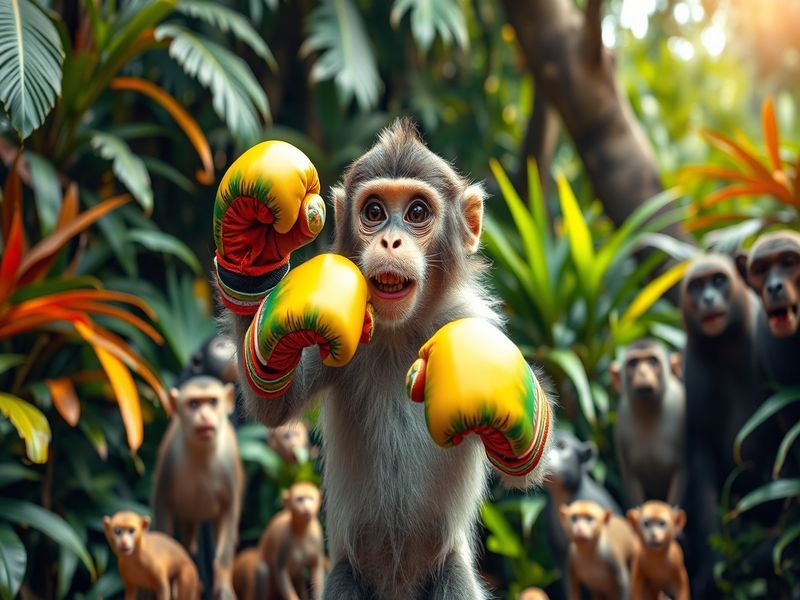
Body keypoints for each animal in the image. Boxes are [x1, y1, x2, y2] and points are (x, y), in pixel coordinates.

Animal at [151, 375, 244, 599]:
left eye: (212, 402)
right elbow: (162, 505)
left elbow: (230, 511)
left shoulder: (228, 459)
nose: (204, 416)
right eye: (193, 404)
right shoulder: (170, 457)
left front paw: (222, 575)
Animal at [212, 118, 554, 599]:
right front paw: (256, 237)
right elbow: (274, 403)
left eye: (416, 213)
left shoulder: (475, 321)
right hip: (345, 577)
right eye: (373, 212)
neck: (398, 332)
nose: (391, 240)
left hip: (447, 573)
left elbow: (524, 465)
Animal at [611, 339, 686, 508]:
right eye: (633, 363)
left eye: (652, 361)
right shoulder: (622, 423)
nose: (642, 373)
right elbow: (632, 479)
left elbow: (682, 472)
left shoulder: (681, 407)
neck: (650, 412)